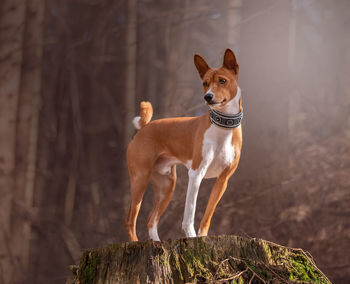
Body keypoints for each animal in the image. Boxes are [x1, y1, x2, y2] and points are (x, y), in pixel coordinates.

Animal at [126, 48, 243, 242]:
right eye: (205, 83)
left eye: (222, 81)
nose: (208, 96)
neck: (222, 128)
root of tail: (145, 127)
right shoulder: (196, 174)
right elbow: (189, 213)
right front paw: (192, 237)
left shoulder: (222, 180)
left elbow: (207, 217)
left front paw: (202, 237)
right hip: (139, 180)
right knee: (130, 221)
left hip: (166, 186)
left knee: (151, 221)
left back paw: (157, 243)